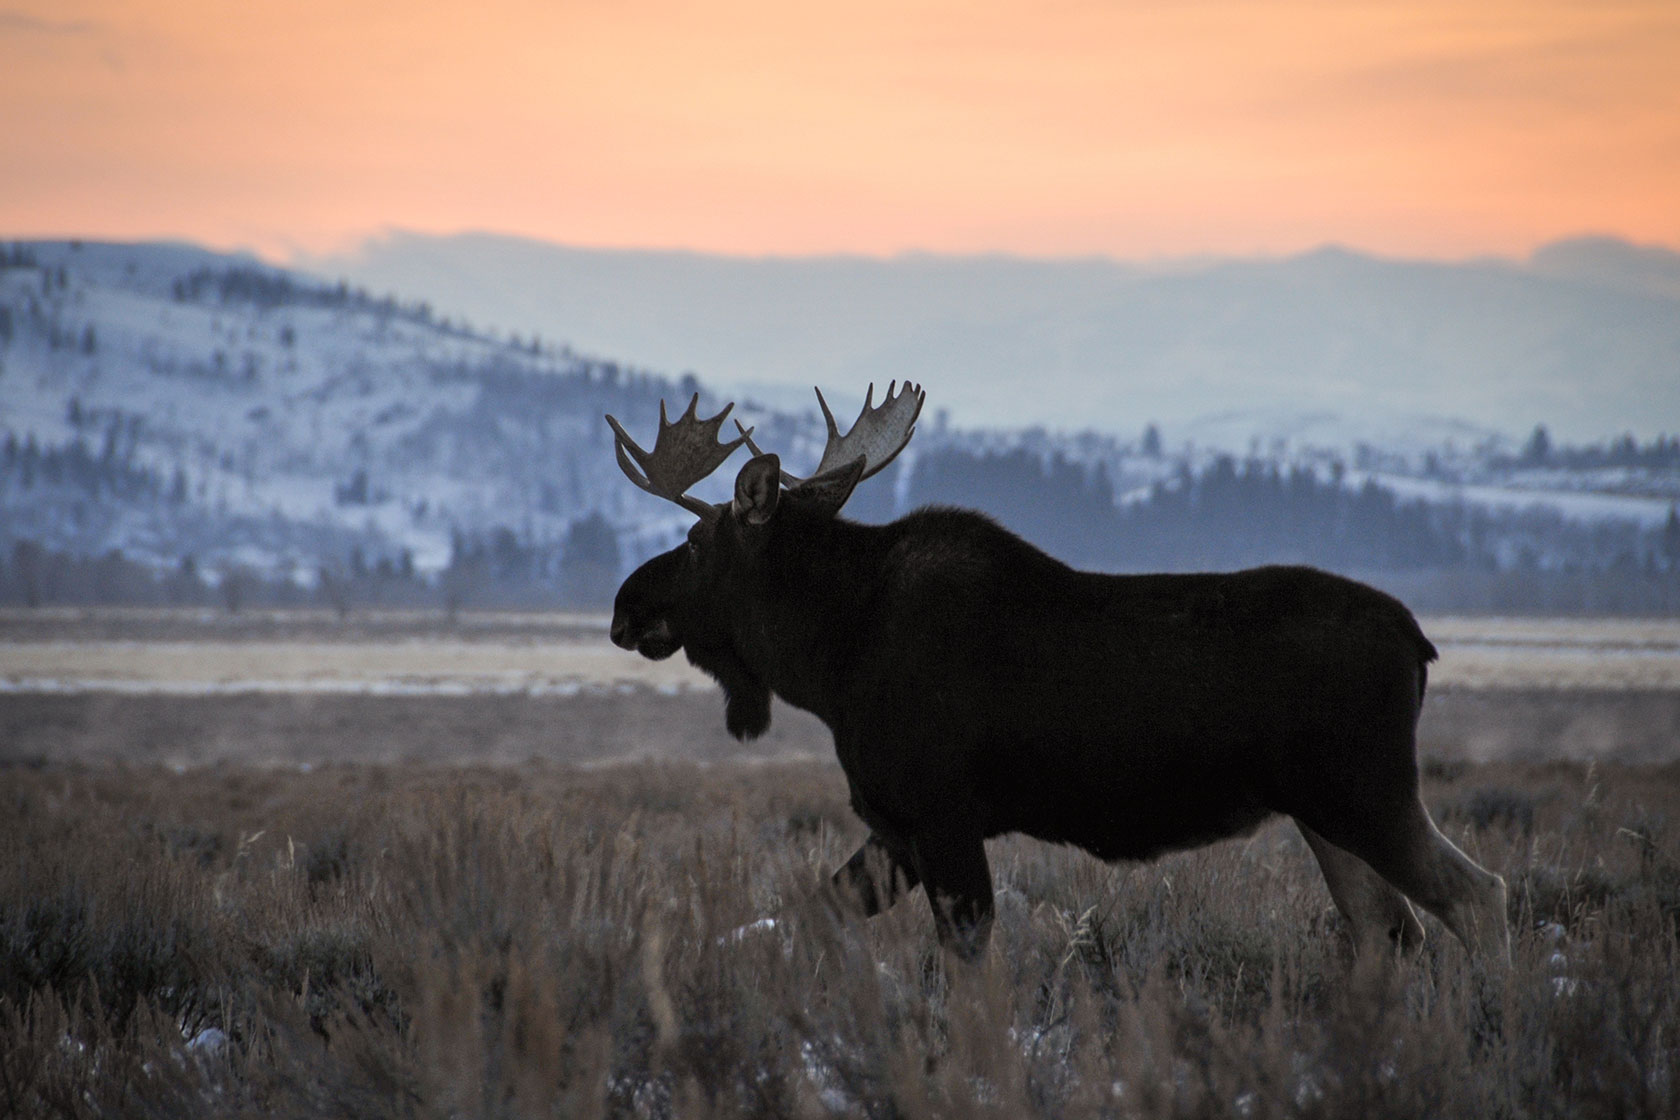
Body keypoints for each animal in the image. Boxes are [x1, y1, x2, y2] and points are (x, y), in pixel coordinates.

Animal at [604, 386, 1512, 967]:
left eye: (696, 544)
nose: (623, 605)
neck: (825, 660)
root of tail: (1421, 644)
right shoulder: (893, 824)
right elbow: (811, 913)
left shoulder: (940, 813)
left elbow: (968, 968)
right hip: (1324, 810)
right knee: (1388, 931)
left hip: (1365, 793)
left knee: (1478, 896)